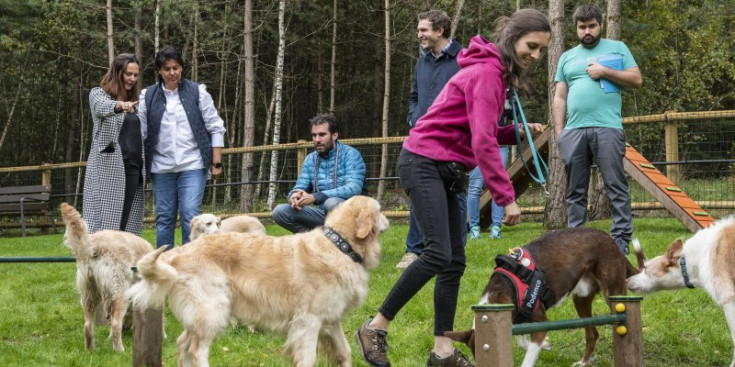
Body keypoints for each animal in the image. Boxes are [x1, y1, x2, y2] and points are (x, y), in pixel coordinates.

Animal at [60, 203, 154, 352]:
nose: (127, 329)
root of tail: (94, 244)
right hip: (120, 292)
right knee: (115, 324)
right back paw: (119, 350)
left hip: (89, 294)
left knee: (88, 324)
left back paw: (90, 349)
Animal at [126, 197, 392, 366]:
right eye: (380, 210)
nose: (389, 219)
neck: (341, 246)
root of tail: (179, 251)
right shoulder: (309, 321)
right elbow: (309, 359)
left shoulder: (331, 319)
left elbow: (345, 352)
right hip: (213, 310)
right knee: (195, 350)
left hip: (200, 314)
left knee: (183, 345)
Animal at [442, 229, 640, 366]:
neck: (503, 287)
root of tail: (612, 242)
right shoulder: (521, 316)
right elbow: (523, 341)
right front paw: (545, 344)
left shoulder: (539, 320)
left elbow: (528, 355)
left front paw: (541, 344)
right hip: (581, 298)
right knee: (592, 334)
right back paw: (583, 362)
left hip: (613, 294)